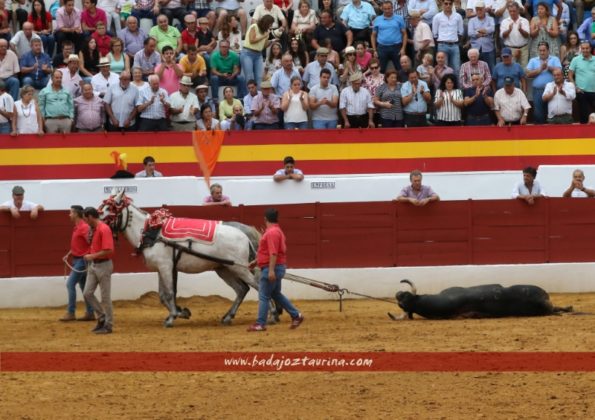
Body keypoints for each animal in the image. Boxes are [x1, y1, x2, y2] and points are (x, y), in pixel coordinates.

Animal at [99, 190, 262, 328]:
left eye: (109, 208)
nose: (95, 222)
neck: (151, 232)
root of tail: (244, 235)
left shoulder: (165, 267)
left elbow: (170, 293)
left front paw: (172, 317)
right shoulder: (162, 269)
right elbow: (163, 295)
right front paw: (181, 312)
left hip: (239, 268)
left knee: (256, 285)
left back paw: (266, 317)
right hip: (224, 269)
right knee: (242, 289)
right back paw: (228, 317)